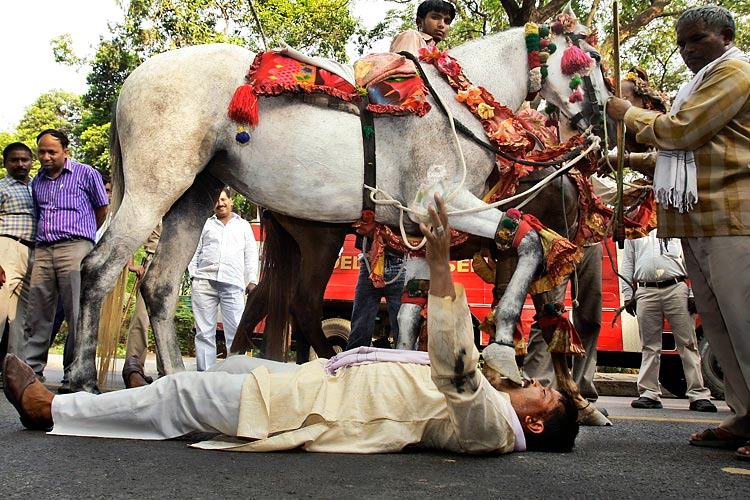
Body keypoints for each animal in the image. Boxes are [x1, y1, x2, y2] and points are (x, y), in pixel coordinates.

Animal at [67, 21, 612, 392]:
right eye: (588, 62)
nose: (602, 133)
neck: (459, 103)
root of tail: (135, 78)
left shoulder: (421, 224)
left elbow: (414, 305)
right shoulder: (445, 201)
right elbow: (529, 240)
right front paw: (500, 344)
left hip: (194, 193)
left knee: (158, 286)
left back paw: (176, 378)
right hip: (156, 187)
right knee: (99, 268)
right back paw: (81, 376)